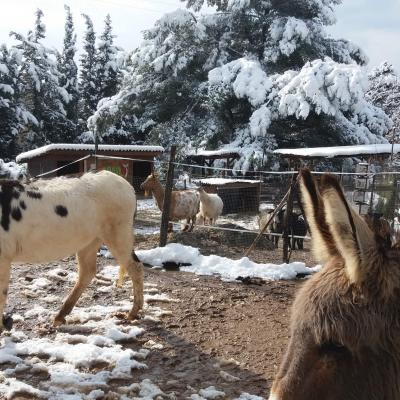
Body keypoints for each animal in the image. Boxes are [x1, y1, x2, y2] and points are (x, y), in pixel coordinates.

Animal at [0, 170, 143, 332]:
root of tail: (126, 185)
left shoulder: (3, 257)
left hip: (118, 232)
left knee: (135, 266)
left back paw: (131, 314)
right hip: (90, 240)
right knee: (87, 271)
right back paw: (59, 317)